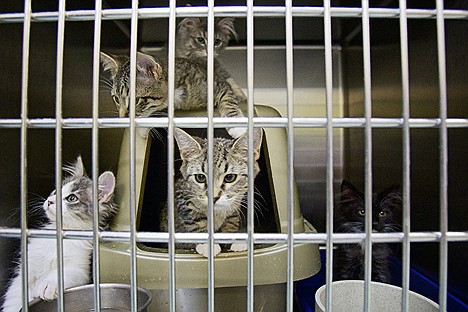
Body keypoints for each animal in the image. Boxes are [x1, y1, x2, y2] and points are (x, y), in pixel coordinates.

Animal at [161, 128, 264, 258]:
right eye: (200, 177)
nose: (214, 197)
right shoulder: (183, 197)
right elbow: (195, 219)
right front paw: (207, 243)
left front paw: (232, 237)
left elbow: (232, 219)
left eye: (230, 177)